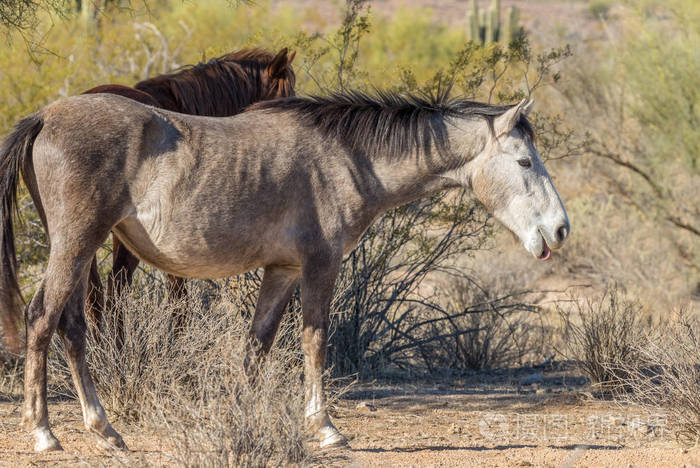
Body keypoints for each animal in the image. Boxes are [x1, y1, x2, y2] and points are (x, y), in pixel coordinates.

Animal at [0, 89, 568, 452]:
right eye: (524, 162)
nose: (560, 229)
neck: (347, 158)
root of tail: (46, 116)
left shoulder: (283, 271)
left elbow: (257, 345)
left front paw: (238, 415)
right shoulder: (321, 265)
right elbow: (314, 341)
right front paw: (326, 428)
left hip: (79, 252)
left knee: (72, 328)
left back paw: (104, 429)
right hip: (76, 246)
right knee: (41, 319)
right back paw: (44, 432)